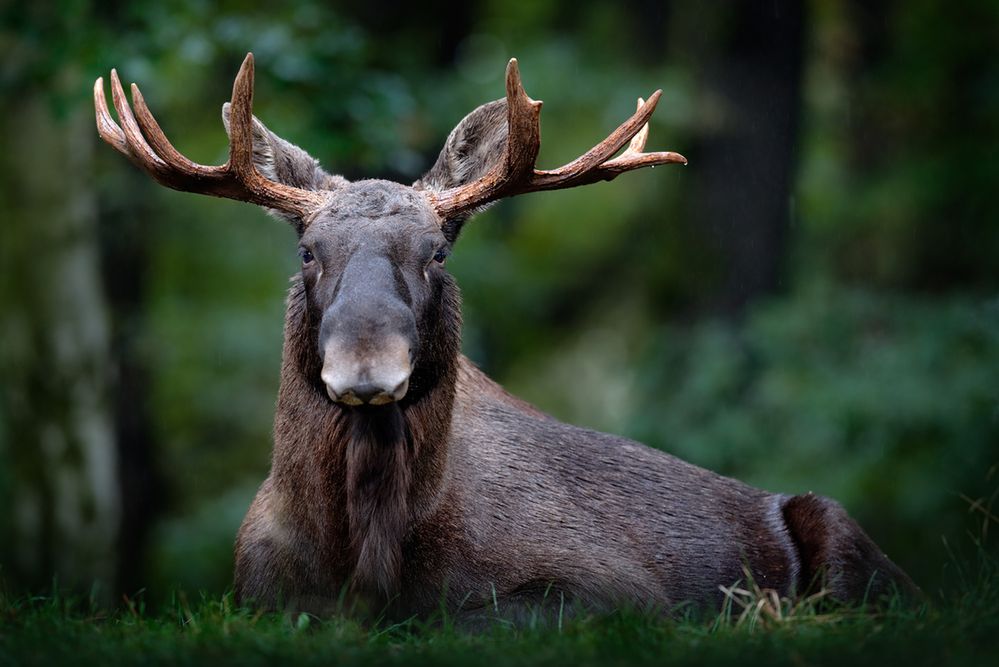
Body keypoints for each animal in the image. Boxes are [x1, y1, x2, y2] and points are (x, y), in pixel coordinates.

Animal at [95, 53, 920, 620]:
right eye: (306, 251)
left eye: (437, 252)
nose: (366, 369)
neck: (365, 551)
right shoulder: (255, 591)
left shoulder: (624, 593)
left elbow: (474, 617)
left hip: (851, 544)